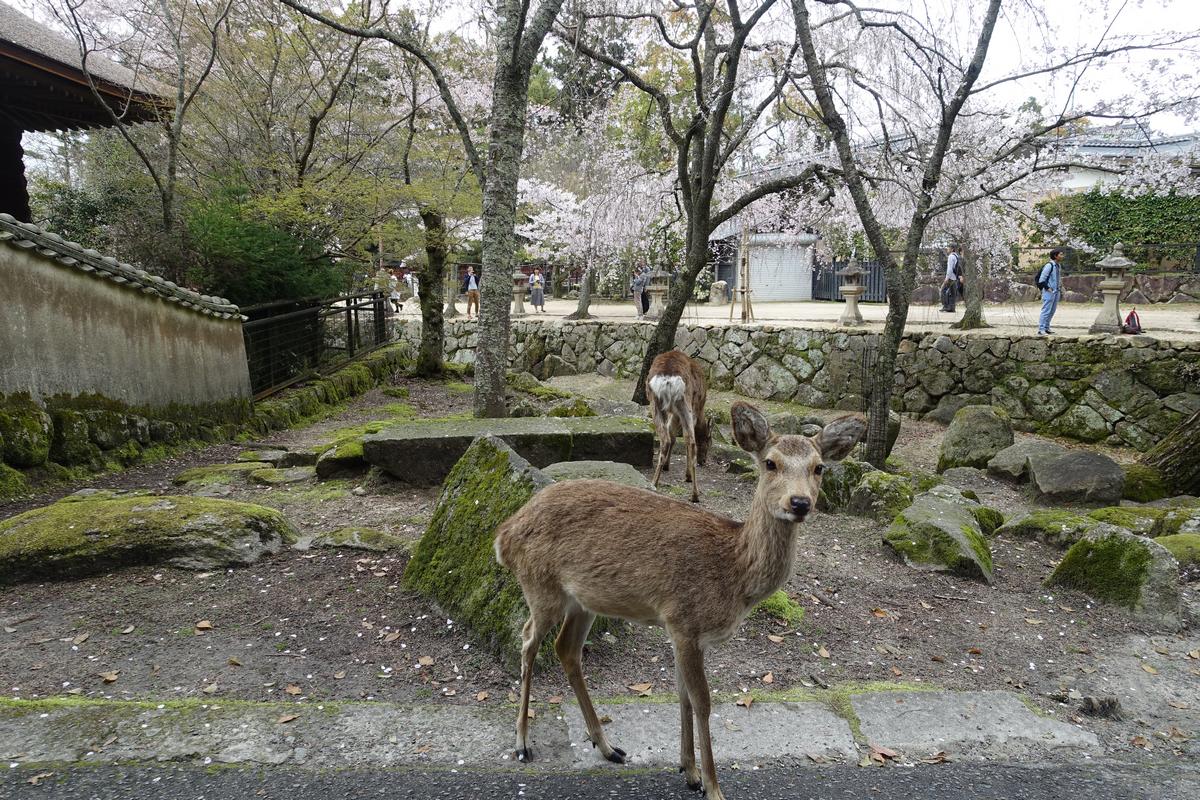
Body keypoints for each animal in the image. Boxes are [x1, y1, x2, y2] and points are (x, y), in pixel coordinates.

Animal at [493, 402, 865, 800]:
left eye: (819, 467)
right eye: (770, 462)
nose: (799, 503)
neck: (735, 574)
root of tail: (505, 534)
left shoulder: (680, 630)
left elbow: (683, 694)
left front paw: (689, 771)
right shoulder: (684, 619)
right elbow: (702, 701)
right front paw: (713, 787)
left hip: (583, 600)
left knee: (566, 649)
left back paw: (608, 747)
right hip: (541, 585)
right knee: (528, 640)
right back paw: (522, 743)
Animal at [646, 350, 712, 503]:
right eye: (710, 441)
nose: (703, 461)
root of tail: (668, 379)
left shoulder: (676, 412)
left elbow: (673, 435)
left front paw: (667, 466)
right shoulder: (689, 410)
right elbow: (674, 435)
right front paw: (668, 466)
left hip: (662, 403)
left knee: (671, 439)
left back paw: (655, 483)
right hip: (681, 404)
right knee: (688, 440)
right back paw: (694, 493)